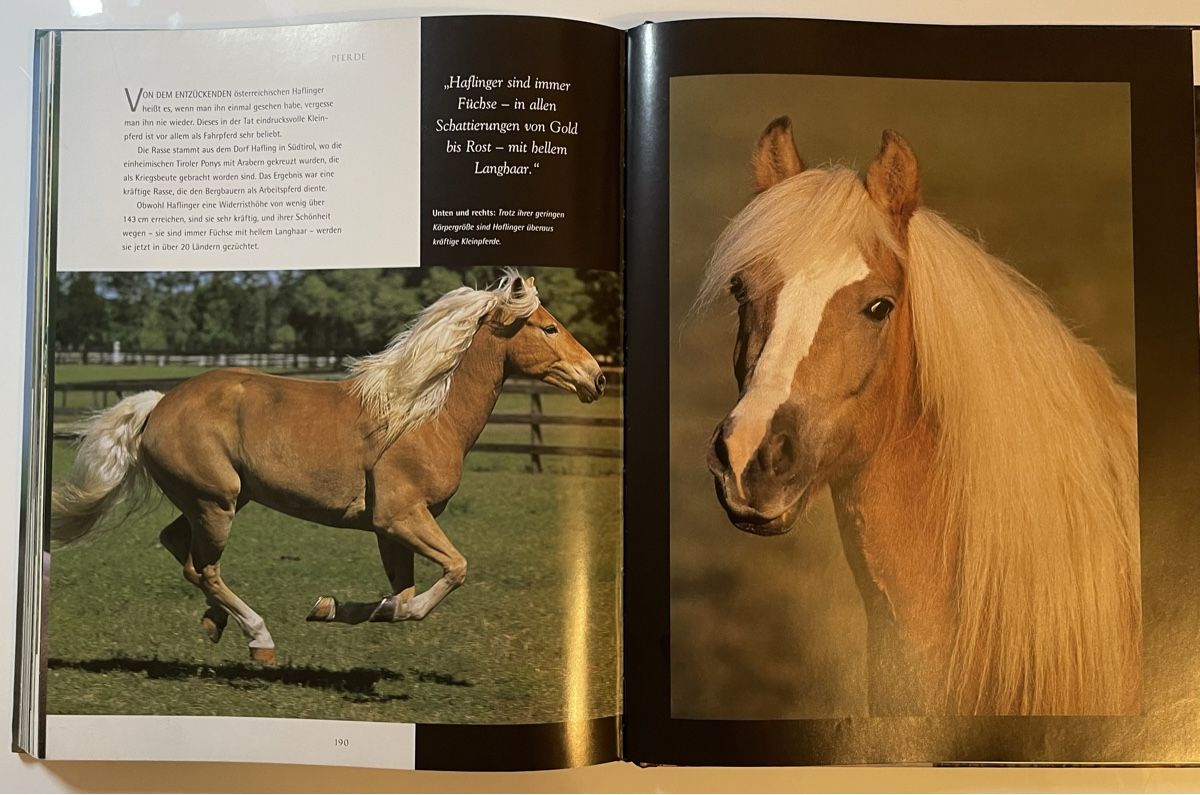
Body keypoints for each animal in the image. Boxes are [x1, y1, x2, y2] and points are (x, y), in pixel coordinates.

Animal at [50, 270, 606, 665]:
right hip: (216, 504)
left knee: (181, 551)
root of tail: (158, 405)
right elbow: (445, 578)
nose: (596, 378)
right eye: (549, 326)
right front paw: (334, 608)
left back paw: (216, 623)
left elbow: (402, 593)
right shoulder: (401, 518)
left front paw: (331, 608)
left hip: (219, 500)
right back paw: (259, 639)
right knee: (202, 566)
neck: (424, 414)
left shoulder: (390, 530)